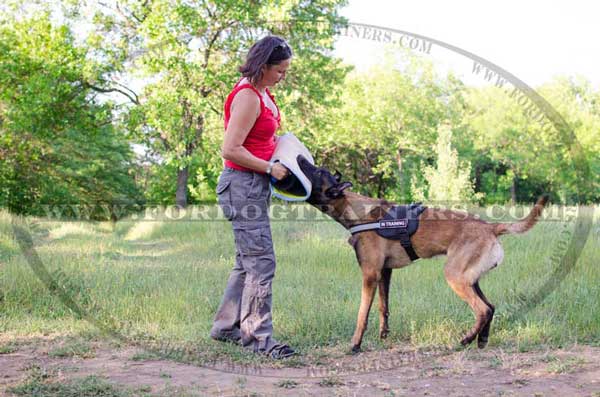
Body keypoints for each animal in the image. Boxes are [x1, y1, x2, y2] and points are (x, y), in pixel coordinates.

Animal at [296, 155, 548, 352]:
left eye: (317, 171)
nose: (299, 158)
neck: (357, 211)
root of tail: (490, 227)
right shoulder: (384, 272)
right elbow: (383, 307)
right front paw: (383, 335)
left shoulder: (369, 274)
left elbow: (361, 313)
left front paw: (355, 344)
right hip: (470, 279)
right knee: (491, 307)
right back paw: (481, 340)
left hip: (455, 276)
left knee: (483, 309)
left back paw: (466, 339)